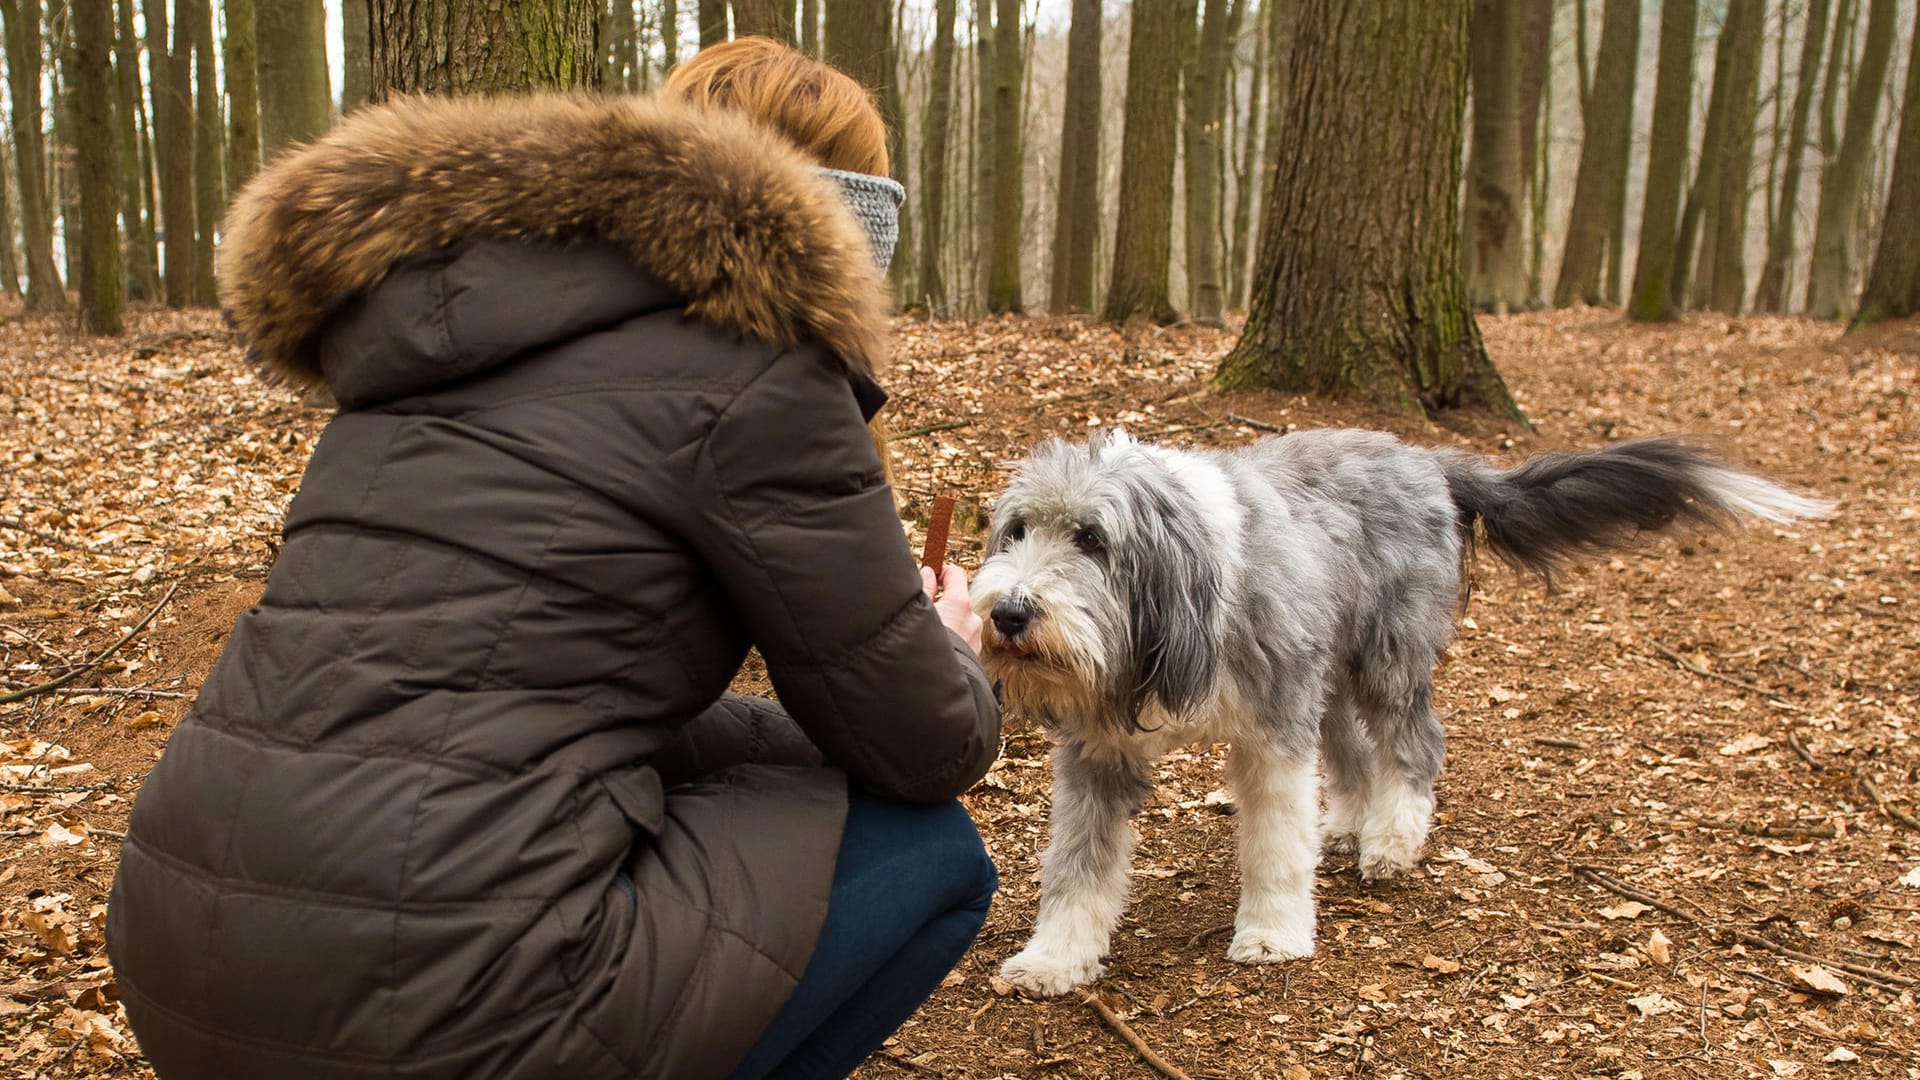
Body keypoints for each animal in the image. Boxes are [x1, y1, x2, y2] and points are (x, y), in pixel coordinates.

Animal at [975, 426, 1827, 991]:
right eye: (1016, 531)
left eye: (1092, 538)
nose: (1009, 613)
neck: (1184, 589)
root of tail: (1426, 457)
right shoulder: (1100, 751)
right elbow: (1078, 865)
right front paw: (1054, 958)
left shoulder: (1274, 731)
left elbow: (1274, 843)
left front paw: (1273, 934)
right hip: (1331, 667)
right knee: (1353, 750)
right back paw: (1352, 822)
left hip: (1387, 657)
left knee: (1415, 744)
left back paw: (1391, 838)